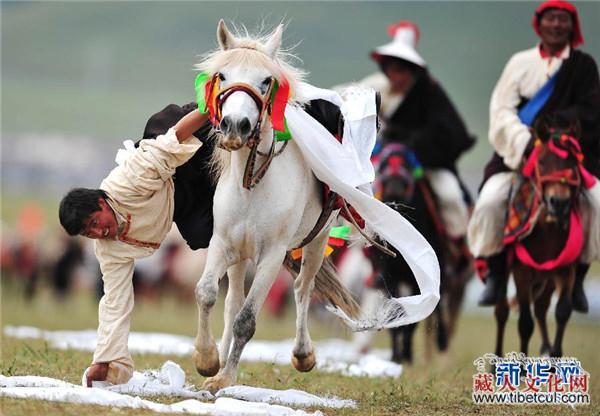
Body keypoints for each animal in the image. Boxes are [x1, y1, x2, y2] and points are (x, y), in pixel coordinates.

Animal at [195, 22, 358, 394]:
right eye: (222, 75)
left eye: (266, 80)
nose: (235, 126)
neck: (252, 182)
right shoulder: (222, 244)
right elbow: (208, 294)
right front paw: (208, 360)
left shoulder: (271, 256)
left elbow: (247, 320)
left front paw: (225, 377)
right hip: (240, 256)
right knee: (231, 301)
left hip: (316, 242)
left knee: (302, 289)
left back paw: (302, 354)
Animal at [494, 122, 588, 358]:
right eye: (542, 162)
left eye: (572, 163)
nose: (559, 202)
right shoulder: (522, 271)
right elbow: (524, 323)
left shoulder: (566, 270)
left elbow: (562, 312)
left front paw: (554, 355)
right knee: (502, 311)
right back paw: (496, 359)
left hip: (547, 279)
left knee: (541, 307)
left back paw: (545, 349)